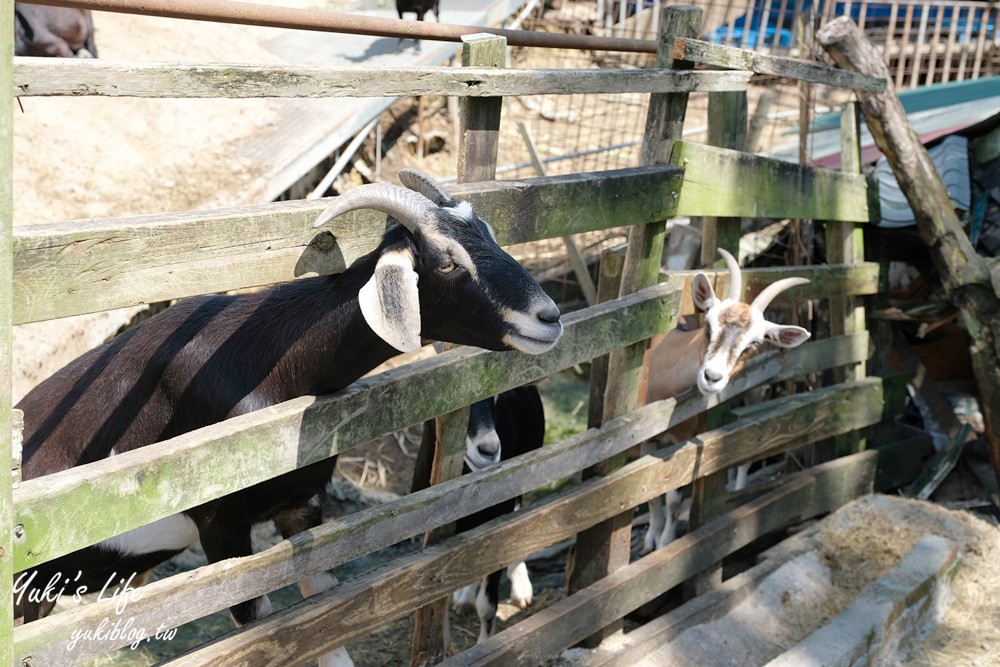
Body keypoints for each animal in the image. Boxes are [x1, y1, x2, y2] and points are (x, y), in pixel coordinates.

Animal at [410, 384, 544, 644]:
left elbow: (487, 604)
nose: (489, 450)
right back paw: (463, 598)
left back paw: (521, 588)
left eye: (496, 393)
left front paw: (485, 644)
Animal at [640, 250, 812, 552]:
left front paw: (665, 542)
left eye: (753, 343)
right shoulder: (644, 441)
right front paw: (652, 538)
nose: (712, 377)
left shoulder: (687, 441)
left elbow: (673, 500)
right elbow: (651, 496)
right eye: (709, 326)